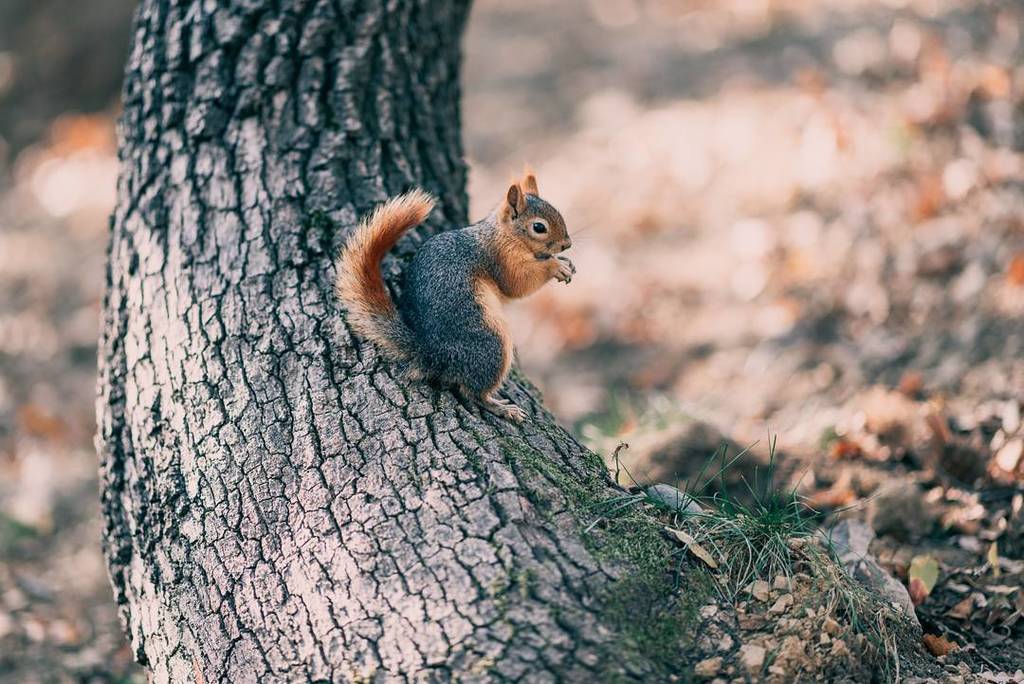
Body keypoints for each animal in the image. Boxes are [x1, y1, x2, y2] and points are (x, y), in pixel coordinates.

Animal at [335, 171, 574, 422]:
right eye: (539, 227)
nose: (567, 245)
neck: (502, 234)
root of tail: (431, 354)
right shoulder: (501, 259)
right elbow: (518, 283)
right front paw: (556, 266)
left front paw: (566, 263)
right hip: (492, 346)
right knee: (473, 392)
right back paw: (502, 408)